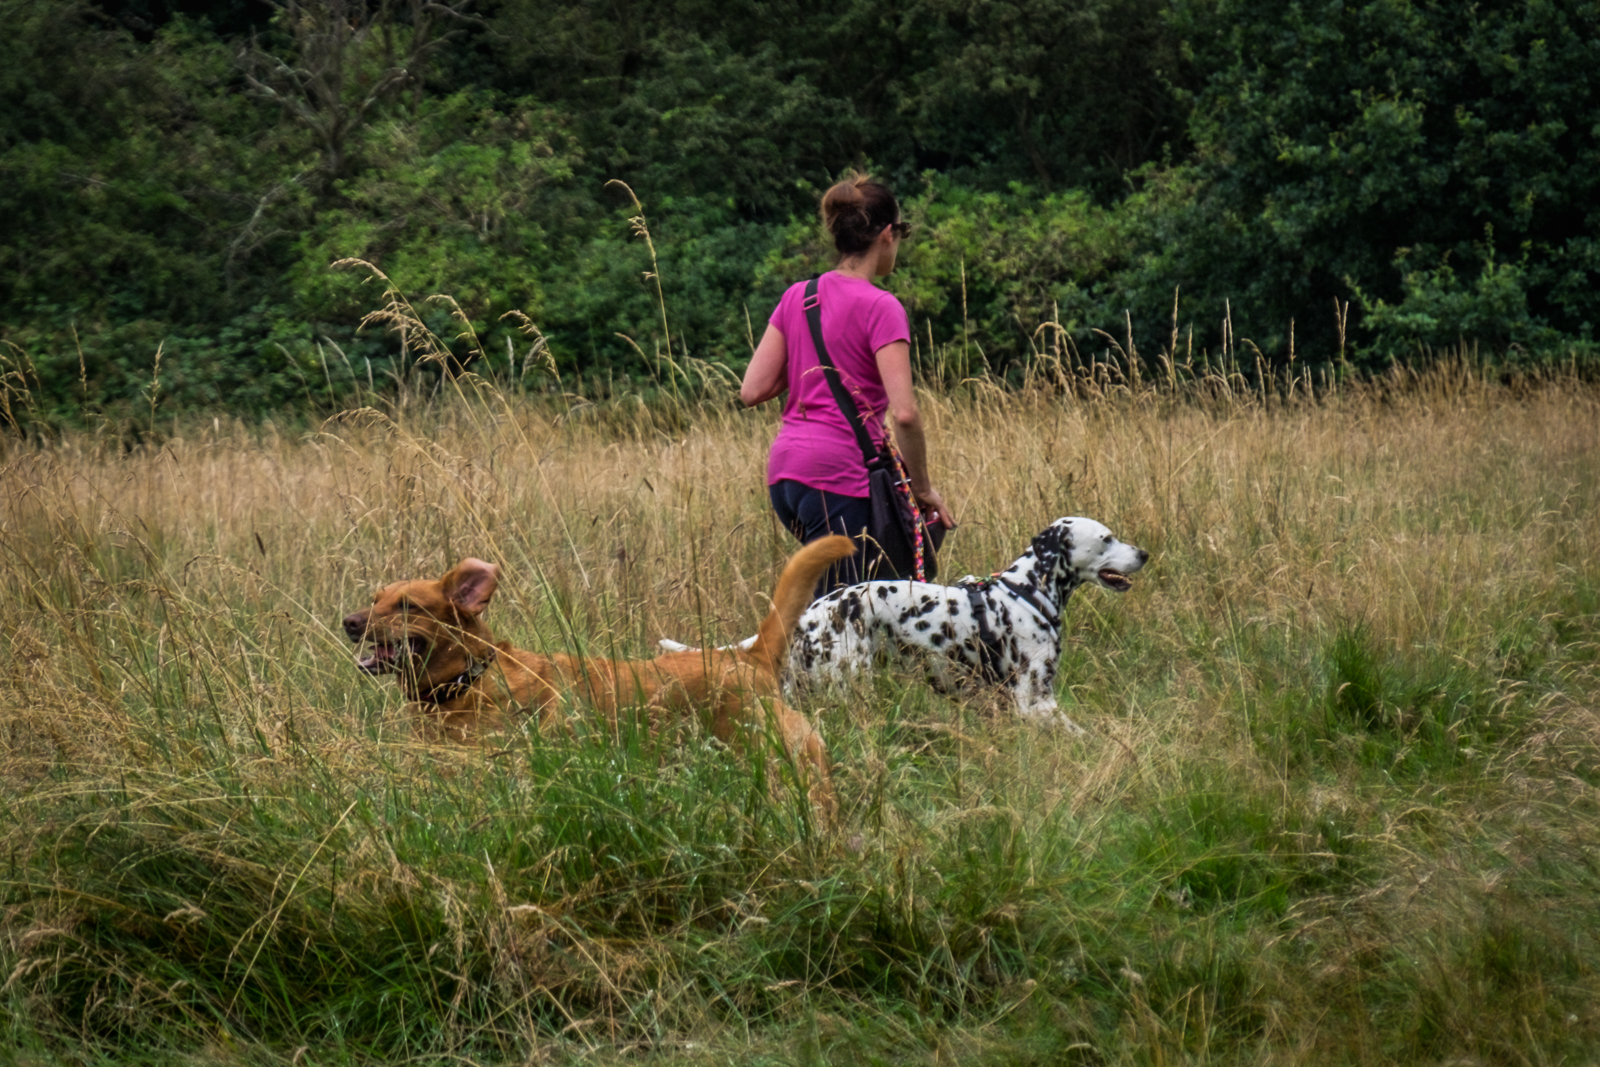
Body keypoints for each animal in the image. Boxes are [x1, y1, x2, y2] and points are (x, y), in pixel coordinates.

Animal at [342, 534, 857, 819]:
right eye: (375, 599)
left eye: (408, 607)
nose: (349, 621)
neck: (471, 677)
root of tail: (745, 657)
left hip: (780, 758)